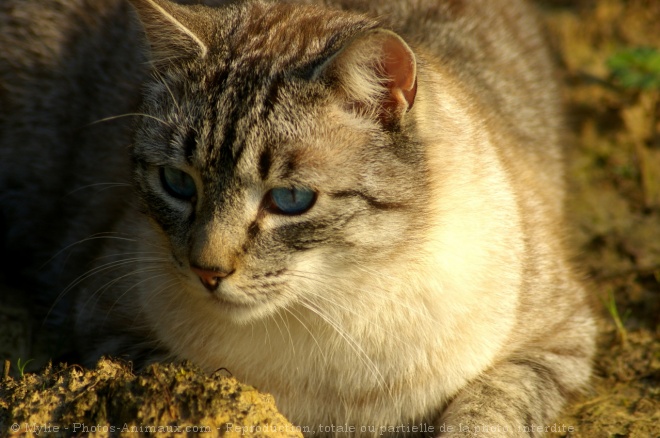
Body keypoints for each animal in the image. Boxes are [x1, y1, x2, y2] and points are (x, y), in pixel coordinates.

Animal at [0, 0, 596, 434]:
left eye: (289, 200)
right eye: (177, 183)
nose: (207, 271)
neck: (335, 307)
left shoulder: (561, 340)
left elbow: (489, 408)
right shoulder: (104, 324)